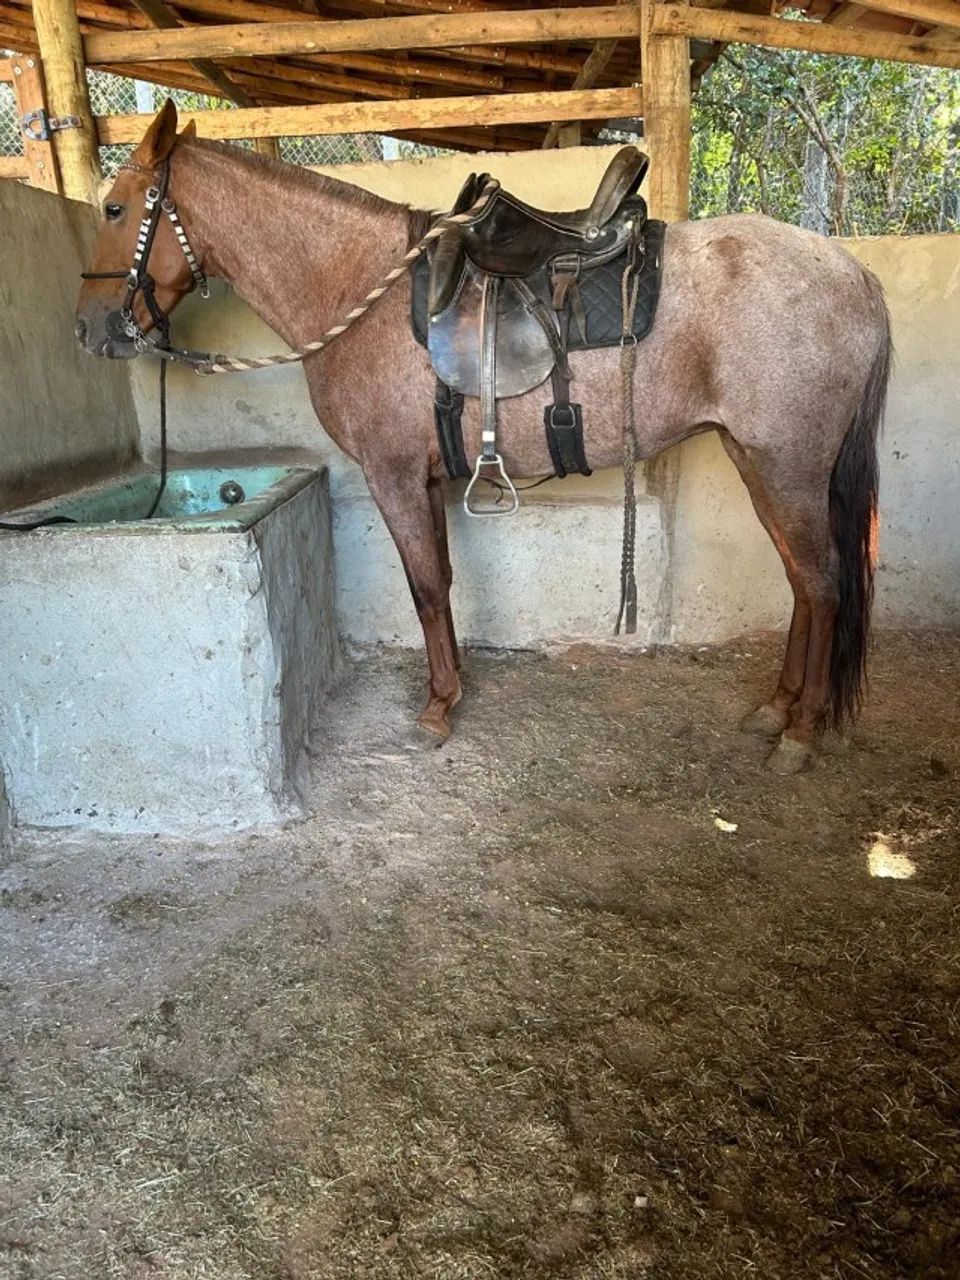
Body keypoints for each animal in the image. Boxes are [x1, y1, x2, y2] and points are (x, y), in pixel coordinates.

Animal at [76, 102, 891, 775]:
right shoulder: (425, 477)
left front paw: (438, 707)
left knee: (823, 581)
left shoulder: (393, 473)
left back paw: (802, 732)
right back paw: (776, 708)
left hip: (786, 464)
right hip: (757, 459)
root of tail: (852, 272)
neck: (358, 289)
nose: (90, 329)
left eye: (115, 207)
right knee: (801, 578)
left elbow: (424, 586)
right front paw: (454, 690)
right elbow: (440, 579)